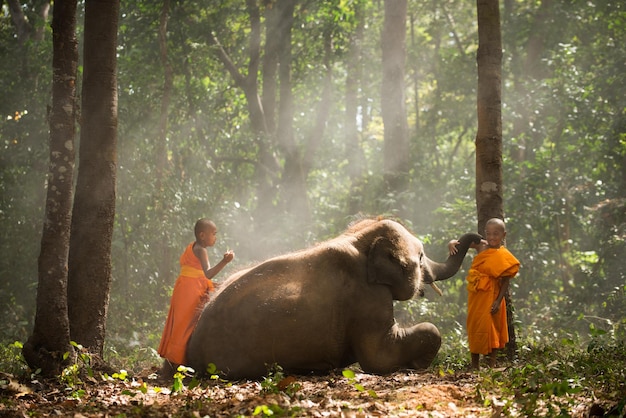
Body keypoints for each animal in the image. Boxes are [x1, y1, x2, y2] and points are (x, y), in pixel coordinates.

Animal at [185, 219, 478, 378]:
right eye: (421, 257)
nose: (477, 237)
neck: (360, 238)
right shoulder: (366, 295)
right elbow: (379, 357)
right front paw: (417, 364)